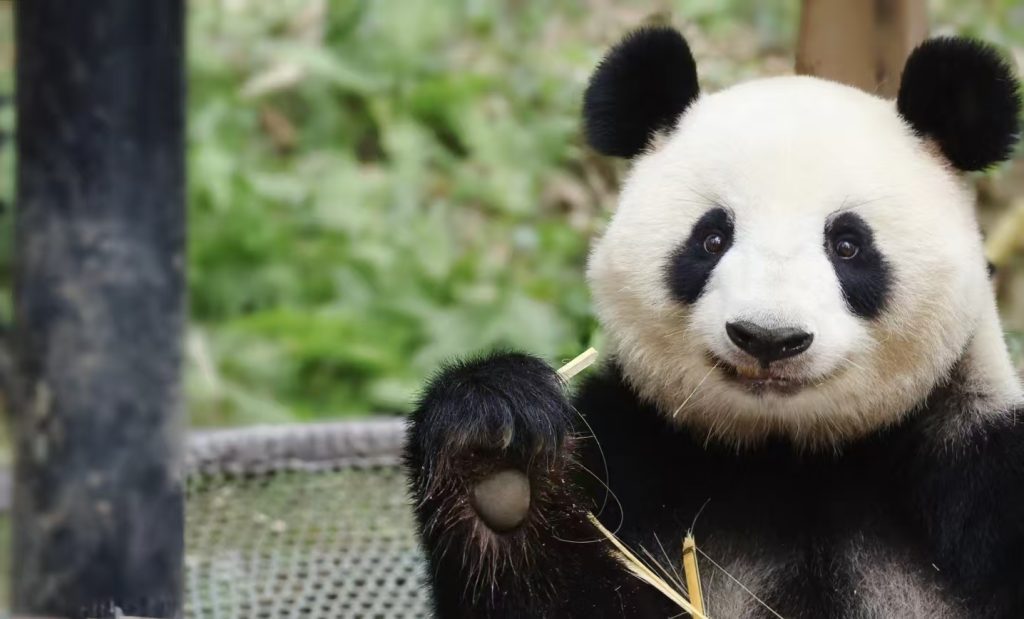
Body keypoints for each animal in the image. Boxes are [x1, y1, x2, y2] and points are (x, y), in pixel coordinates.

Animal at [405, 25, 1024, 618]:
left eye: (848, 245)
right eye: (711, 239)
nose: (768, 338)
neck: (790, 455)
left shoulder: (976, 466)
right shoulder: (630, 455)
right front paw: (496, 454)